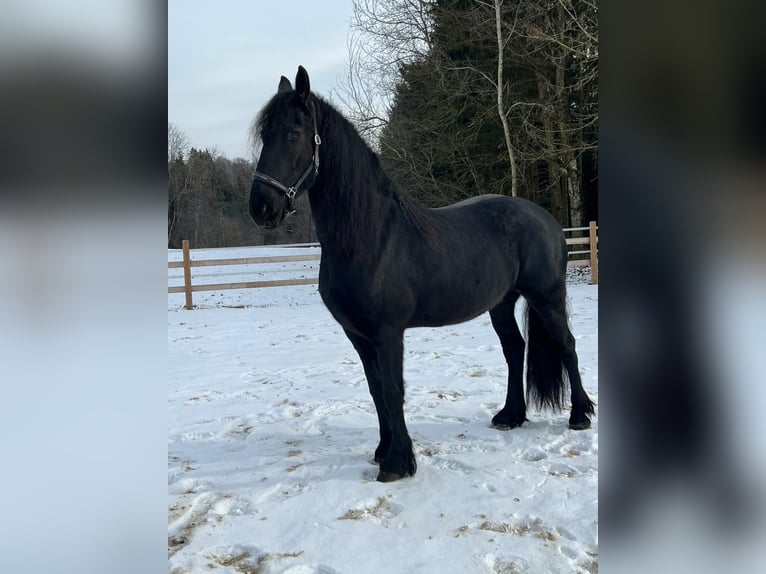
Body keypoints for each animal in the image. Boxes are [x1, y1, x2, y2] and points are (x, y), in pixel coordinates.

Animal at [248, 66, 595, 482]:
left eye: (293, 133)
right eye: (264, 135)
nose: (261, 208)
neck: (371, 237)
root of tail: (546, 219)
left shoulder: (388, 332)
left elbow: (393, 390)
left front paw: (399, 463)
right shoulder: (359, 335)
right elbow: (376, 391)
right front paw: (383, 451)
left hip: (547, 295)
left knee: (567, 345)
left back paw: (580, 415)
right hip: (501, 302)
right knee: (515, 349)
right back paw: (510, 415)